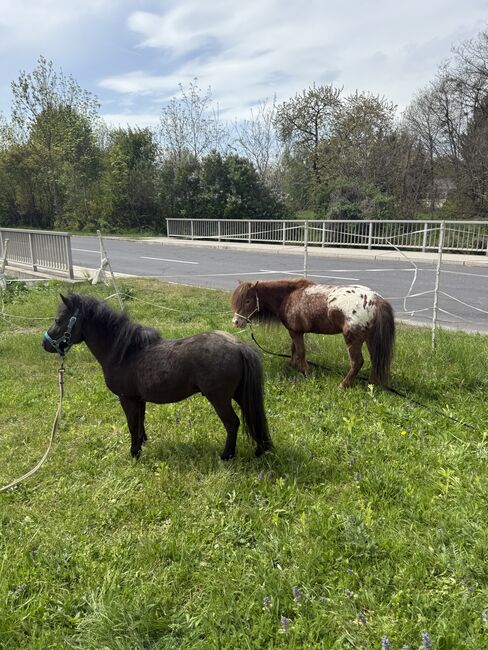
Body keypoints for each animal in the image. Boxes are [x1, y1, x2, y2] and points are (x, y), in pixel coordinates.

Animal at [43, 293, 271, 460]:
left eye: (58, 320)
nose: (44, 344)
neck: (125, 352)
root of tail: (238, 346)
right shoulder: (139, 399)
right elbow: (140, 422)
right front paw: (142, 443)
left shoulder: (127, 399)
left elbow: (132, 425)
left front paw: (134, 454)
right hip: (239, 394)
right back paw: (261, 449)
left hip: (219, 399)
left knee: (232, 423)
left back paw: (226, 455)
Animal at [231, 278, 395, 389]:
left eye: (248, 300)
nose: (236, 322)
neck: (288, 296)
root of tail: (376, 300)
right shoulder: (294, 331)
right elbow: (294, 350)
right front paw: (292, 365)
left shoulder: (296, 332)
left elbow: (301, 352)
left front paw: (304, 372)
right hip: (370, 338)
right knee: (375, 359)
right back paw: (371, 384)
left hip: (353, 339)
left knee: (357, 362)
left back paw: (343, 385)